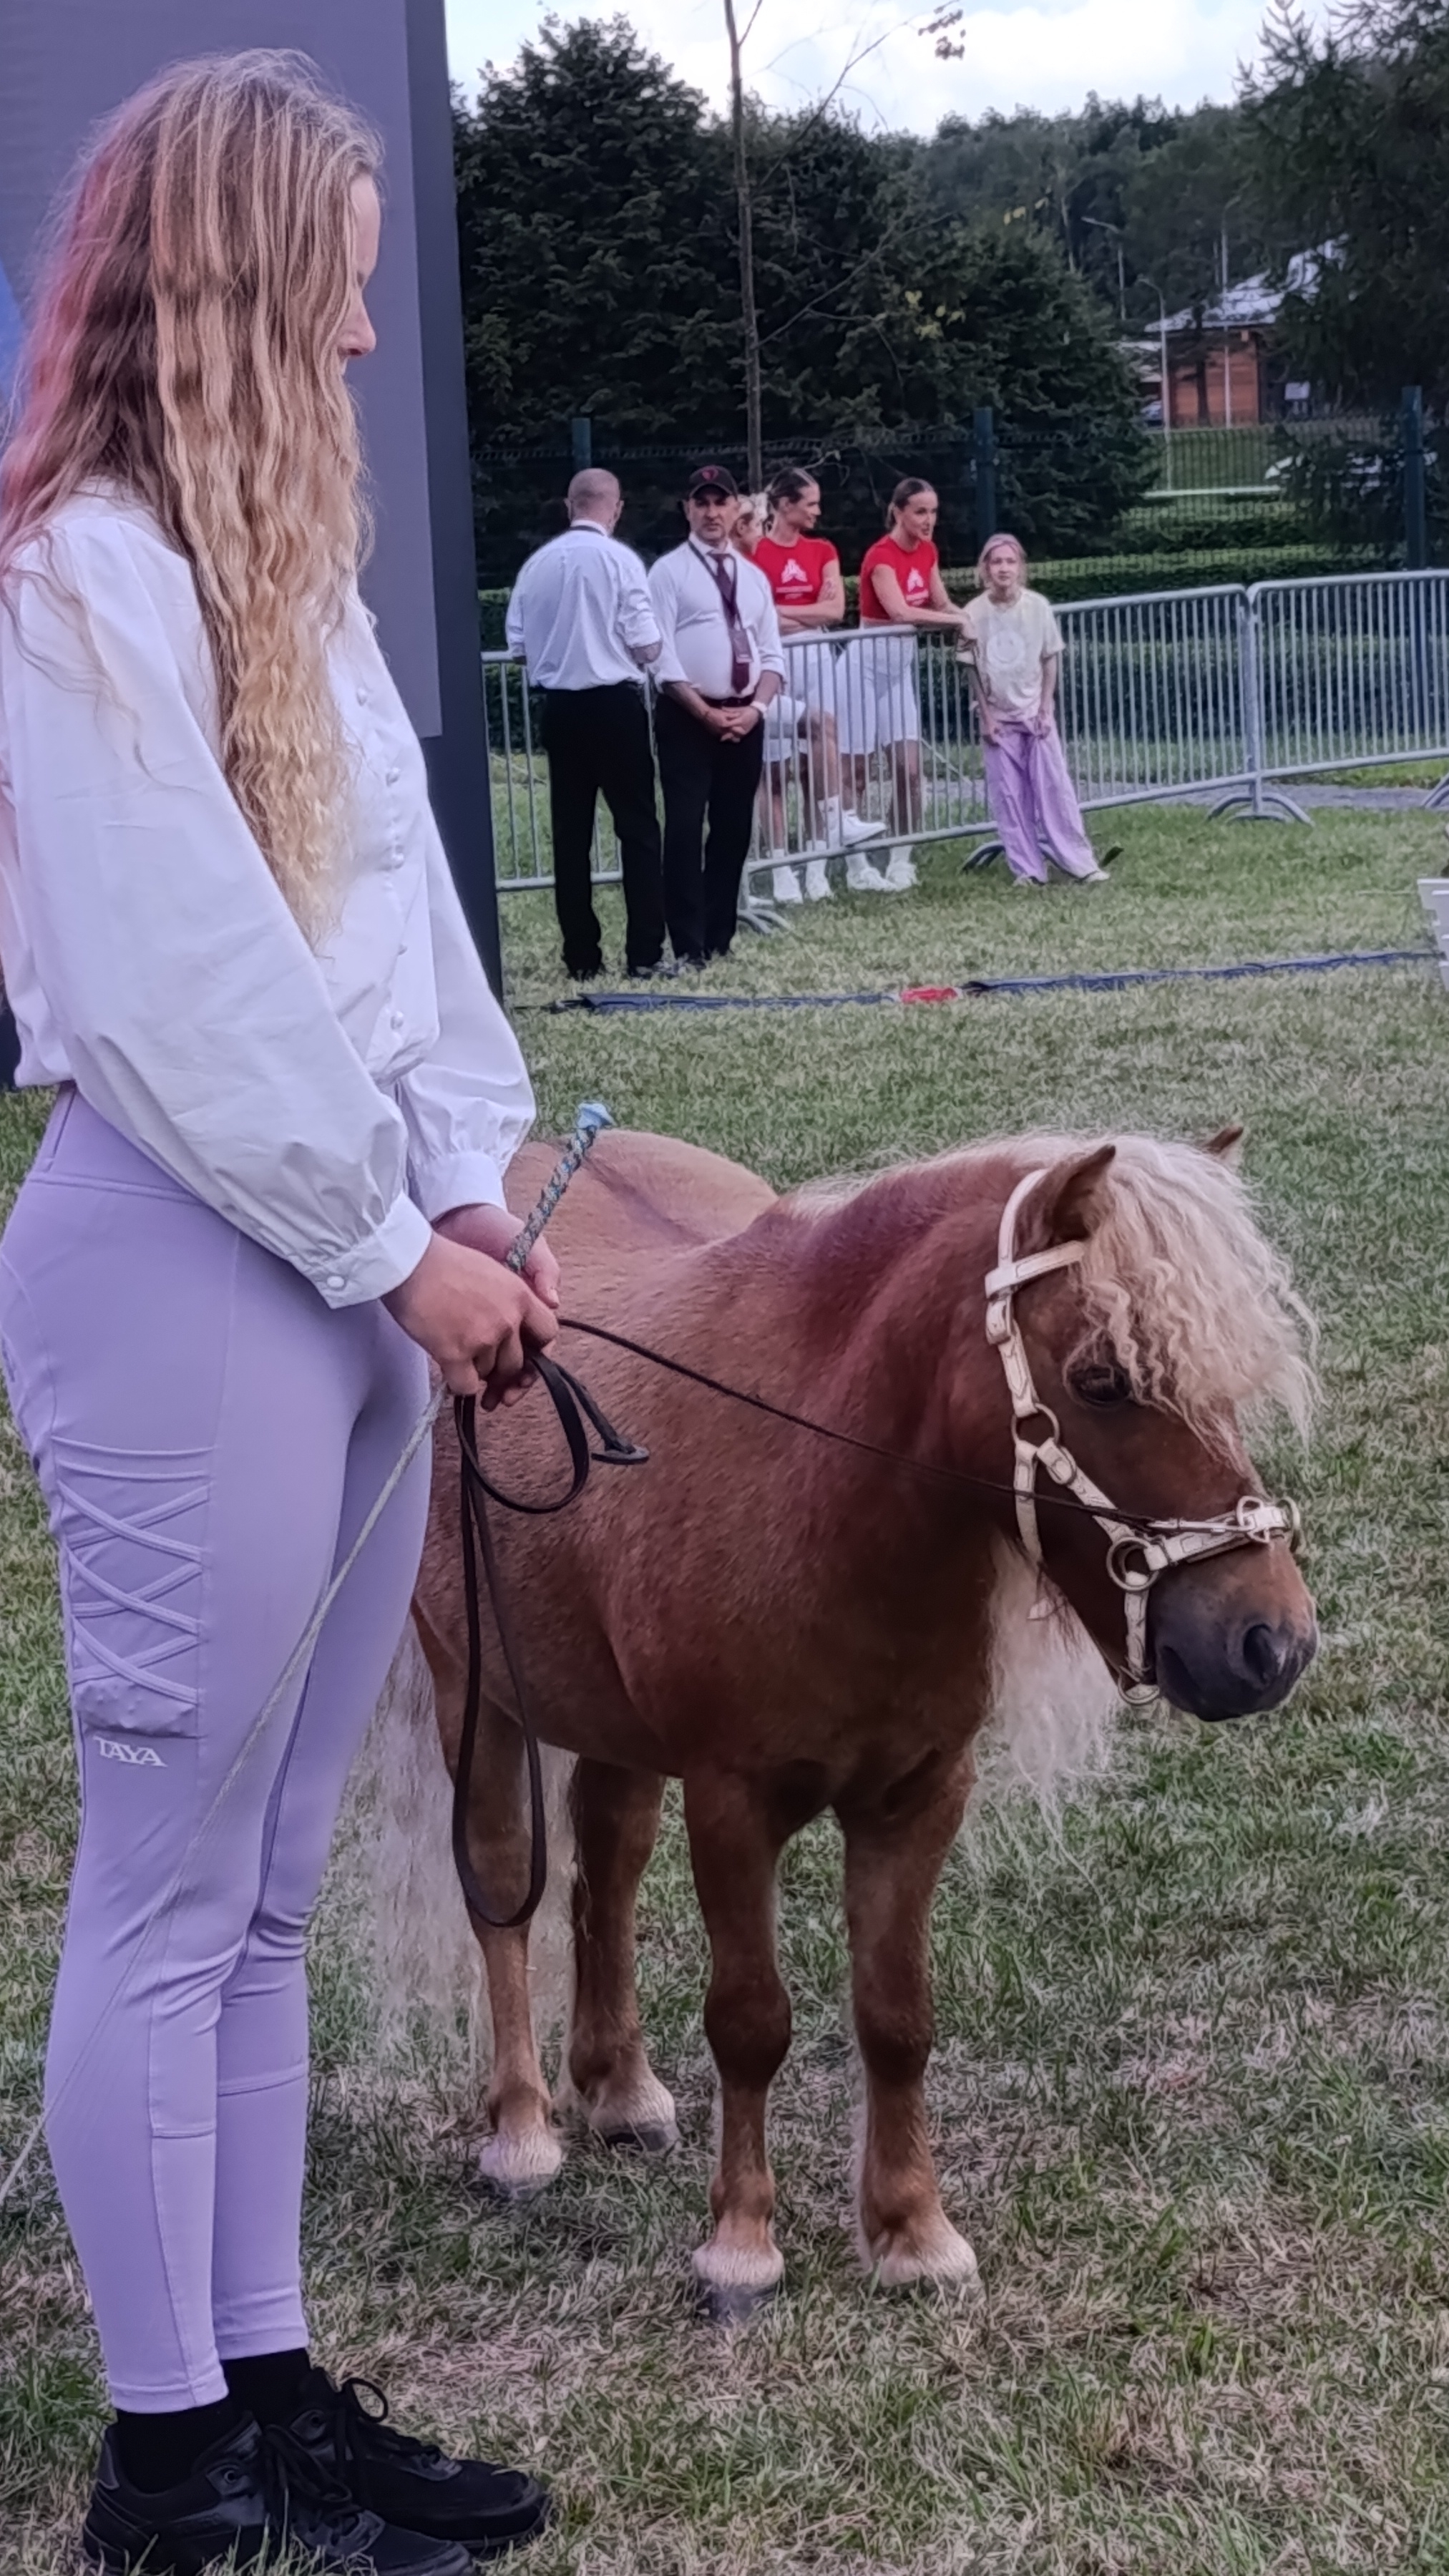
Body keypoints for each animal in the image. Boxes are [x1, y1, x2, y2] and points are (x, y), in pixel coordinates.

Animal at [405, 1124, 1318, 2318]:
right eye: (1101, 1381)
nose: (1270, 1643)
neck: (823, 1491)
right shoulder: (732, 1804)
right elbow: (751, 2023)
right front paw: (741, 2245)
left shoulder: (918, 1797)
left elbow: (896, 2019)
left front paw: (911, 2233)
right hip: (473, 1691)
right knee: (505, 1889)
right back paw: (522, 2133)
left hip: (611, 1727)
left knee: (607, 1864)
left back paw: (620, 2090)